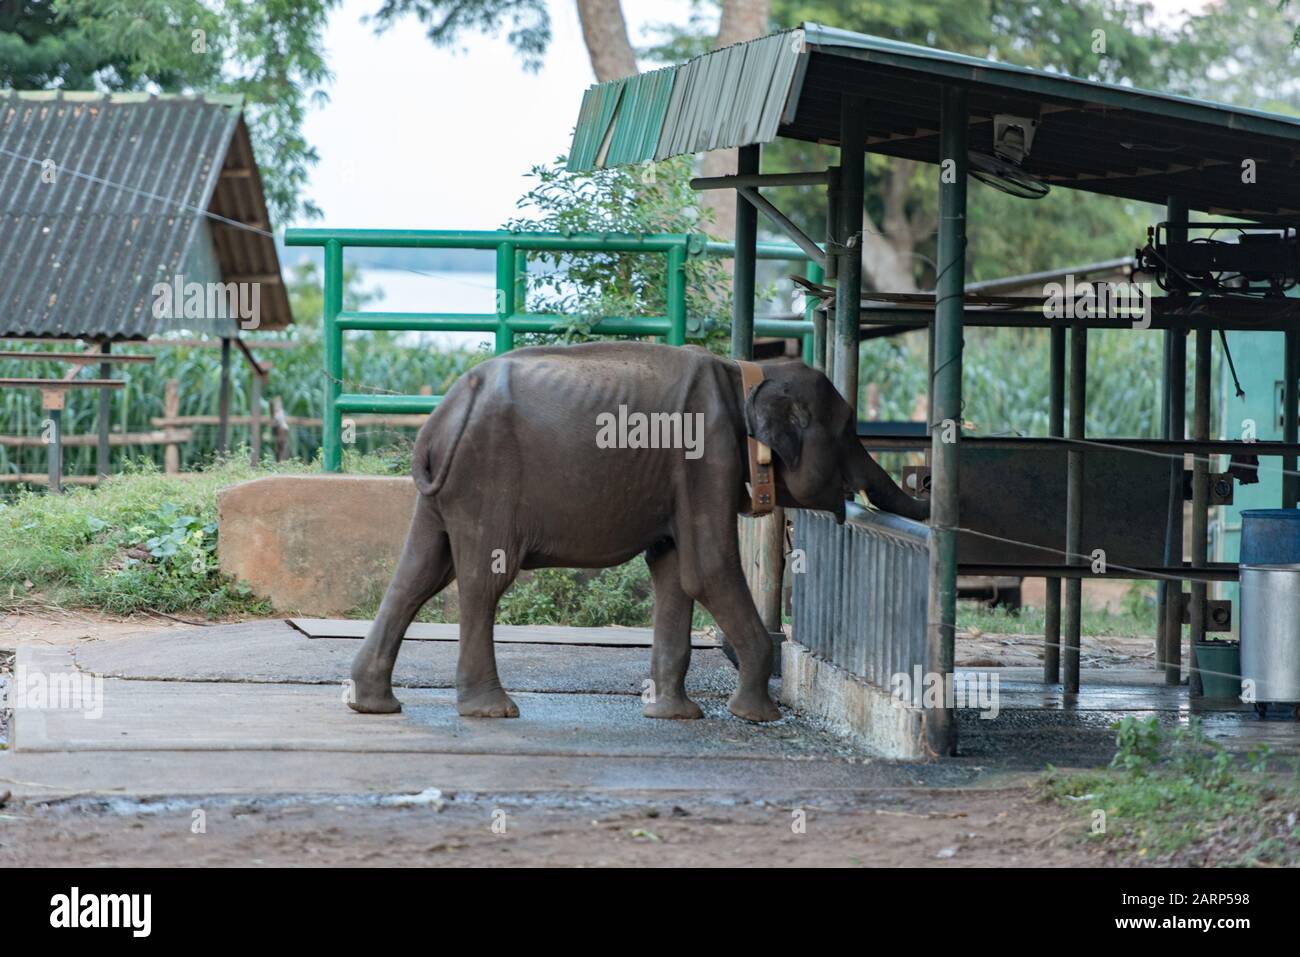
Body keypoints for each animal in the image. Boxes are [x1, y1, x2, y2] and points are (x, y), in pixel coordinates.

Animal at [348, 340, 925, 722]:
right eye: (848, 429)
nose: (920, 482)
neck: (749, 372)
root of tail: (444, 414)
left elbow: (674, 572)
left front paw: (674, 715)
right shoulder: (705, 457)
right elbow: (709, 569)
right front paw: (758, 717)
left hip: (447, 489)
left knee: (420, 572)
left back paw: (373, 704)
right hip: (486, 475)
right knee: (482, 580)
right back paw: (491, 710)